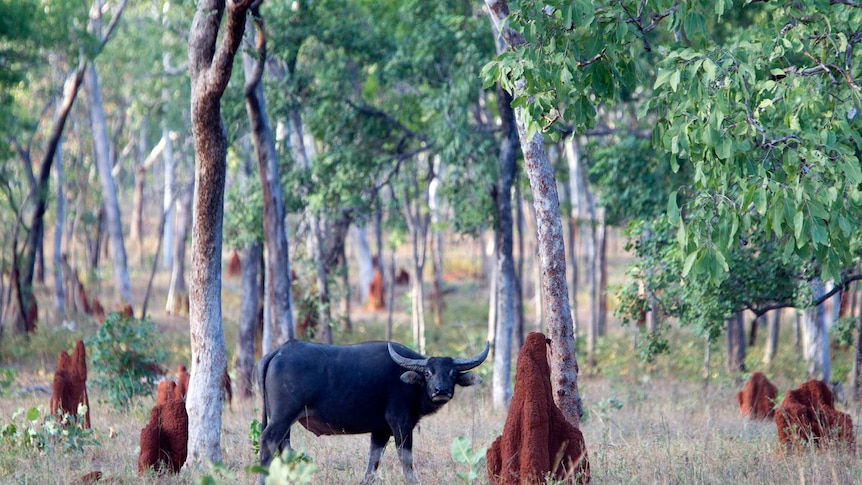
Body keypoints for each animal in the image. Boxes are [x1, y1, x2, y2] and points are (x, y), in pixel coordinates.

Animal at [256, 338, 490, 482]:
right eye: (428, 373)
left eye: (452, 373)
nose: (440, 391)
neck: (410, 384)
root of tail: (279, 351)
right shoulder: (401, 424)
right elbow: (406, 461)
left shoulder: (380, 431)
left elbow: (372, 465)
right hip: (282, 418)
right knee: (268, 444)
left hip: (285, 421)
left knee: (284, 448)